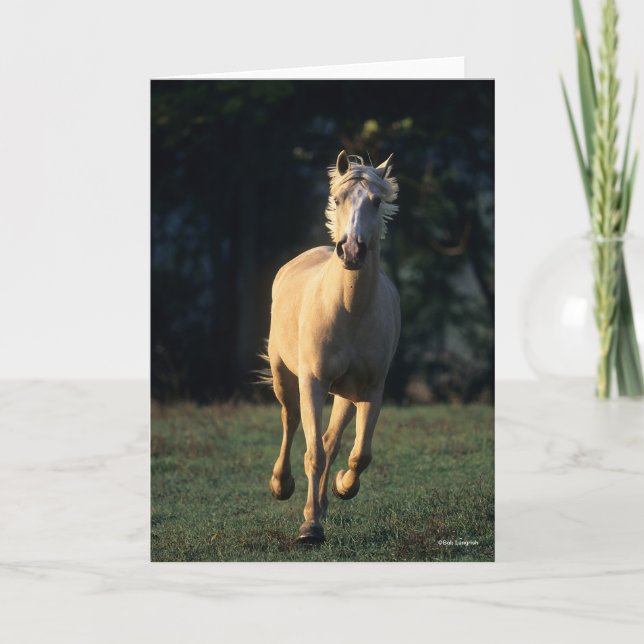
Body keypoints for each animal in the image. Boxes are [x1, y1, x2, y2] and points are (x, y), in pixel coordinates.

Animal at [265, 150, 401, 543]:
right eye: (338, 199)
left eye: (376, 201)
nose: (351, 251)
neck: (349, 308)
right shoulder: (313, 381)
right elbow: (313, 453)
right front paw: (309, 527)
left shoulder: (371, 390)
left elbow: (358, 455)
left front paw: (343, 487)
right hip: (284, 375)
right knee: (291, 420)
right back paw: (281, 485)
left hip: (345, 393)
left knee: (331, 440)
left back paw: (326, 500)